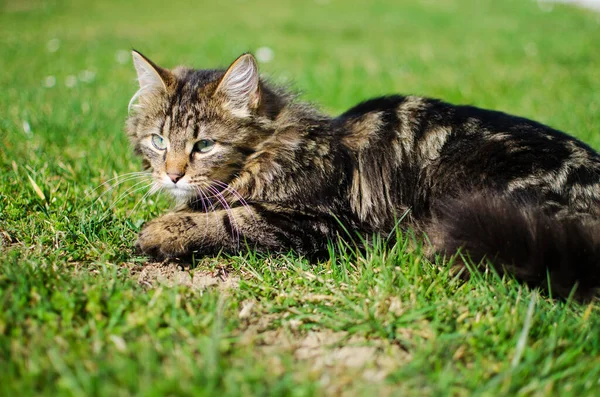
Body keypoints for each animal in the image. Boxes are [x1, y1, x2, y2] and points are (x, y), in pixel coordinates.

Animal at [126, 48, 600, 296]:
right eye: (159, 141)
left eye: (204, 145)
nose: (172, 175)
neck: (275, 147)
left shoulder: (325, 221)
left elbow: (232, 220)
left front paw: (162, 231)